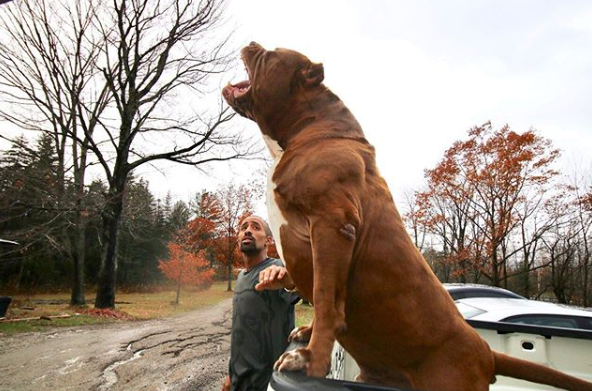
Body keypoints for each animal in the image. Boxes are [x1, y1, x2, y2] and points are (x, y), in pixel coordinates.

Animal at [222, 43, 592, 391]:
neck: (306, 131)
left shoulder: (332, 225)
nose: (252, 42)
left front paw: (311, 359)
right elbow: (317, 292)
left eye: (271, 54)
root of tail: (485, 353)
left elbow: (327, 299)